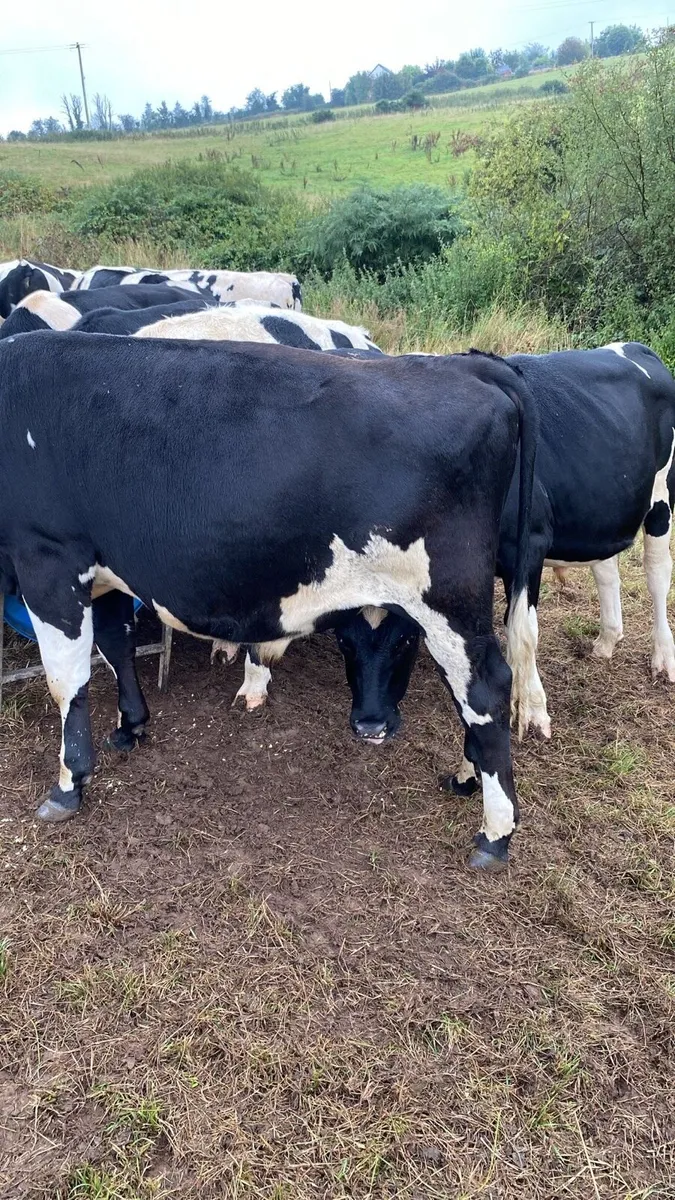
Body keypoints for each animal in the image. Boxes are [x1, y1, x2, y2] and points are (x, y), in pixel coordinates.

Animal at [0, 333, 537, 869]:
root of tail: (467, 366)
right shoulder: (105, 565)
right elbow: (116, 646)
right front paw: (130, 727)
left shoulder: (47, 556)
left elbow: (65, 679)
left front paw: (69, 783)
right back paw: (465, 777)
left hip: (448, 602)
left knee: (486, 688)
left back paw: (495, 834)